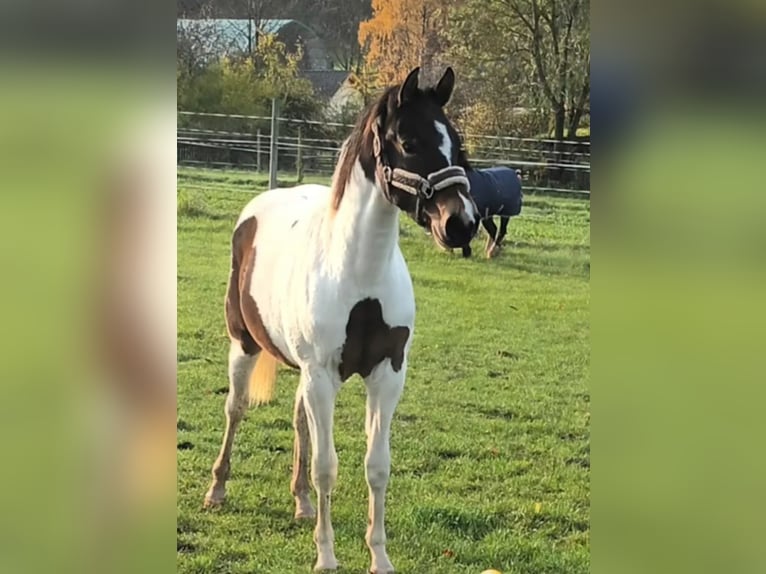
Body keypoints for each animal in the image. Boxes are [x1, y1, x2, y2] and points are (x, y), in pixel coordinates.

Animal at [203, 67, 479, 573]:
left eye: (455, 141)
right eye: (408, 140)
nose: (460, 223)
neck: (358, 275)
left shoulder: (387, 374)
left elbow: (377, 466)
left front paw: (379, 557)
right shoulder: (322, 375)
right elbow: (327, 467)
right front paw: (327, 556)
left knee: (297, 419)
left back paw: (300, 503)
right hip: (244, 344)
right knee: (236, 408)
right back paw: (217, 489)